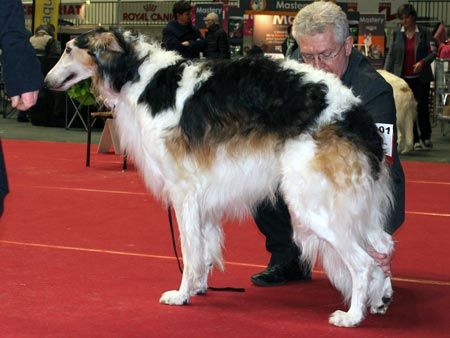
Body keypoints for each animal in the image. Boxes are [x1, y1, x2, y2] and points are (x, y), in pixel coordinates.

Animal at [45, 29, 394, 328]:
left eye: (68, 49)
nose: (47, 82)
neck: (137, 75)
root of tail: (354, 112)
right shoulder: (204, 198)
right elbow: (204, 248)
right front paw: (199, 287)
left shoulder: (184, 191)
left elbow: (190, 251)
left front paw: (182, 294)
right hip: (352, 206)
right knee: (384, 246)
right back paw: (380, 299)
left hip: (312, 205)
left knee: (363, 262)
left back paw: (352, 316)